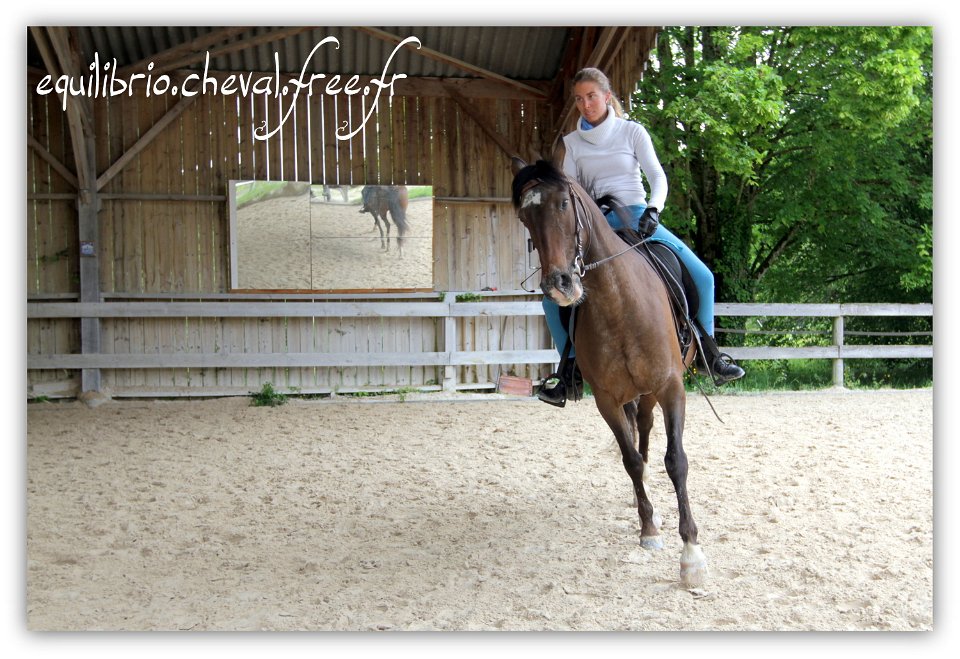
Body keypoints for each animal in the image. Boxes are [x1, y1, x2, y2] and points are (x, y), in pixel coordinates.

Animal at [512, 159, 708, 588]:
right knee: (638, 437)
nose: (560, 285)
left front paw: (692, 556)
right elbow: (630, 459)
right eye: (524, 216)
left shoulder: (672, 387)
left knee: (647, 428)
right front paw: (648, 530)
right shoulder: (606, 400)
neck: (618, 303)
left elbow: (676, 460)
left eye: (564, 203)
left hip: (652, 391)